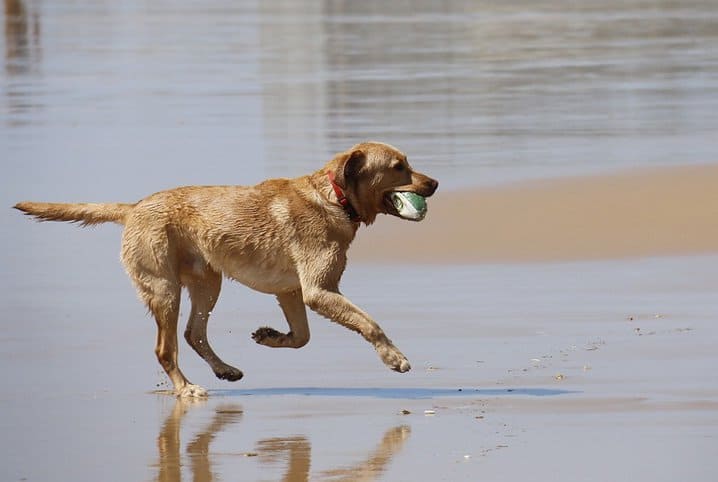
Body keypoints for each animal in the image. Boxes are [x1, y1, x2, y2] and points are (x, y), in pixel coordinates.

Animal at [15, 141, 438, 398]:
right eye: (399, 167)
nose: (434, 183)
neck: (334, 197)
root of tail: (133, 208)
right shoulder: (318, 290)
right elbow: (370, 323)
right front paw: (394, 358)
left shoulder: (291, 291)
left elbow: (301, 338)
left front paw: (271, 337)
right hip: (165, 290)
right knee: (165, 348)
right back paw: (186, 388)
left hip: (207, 283)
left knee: (193, 333)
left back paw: (224, 369)